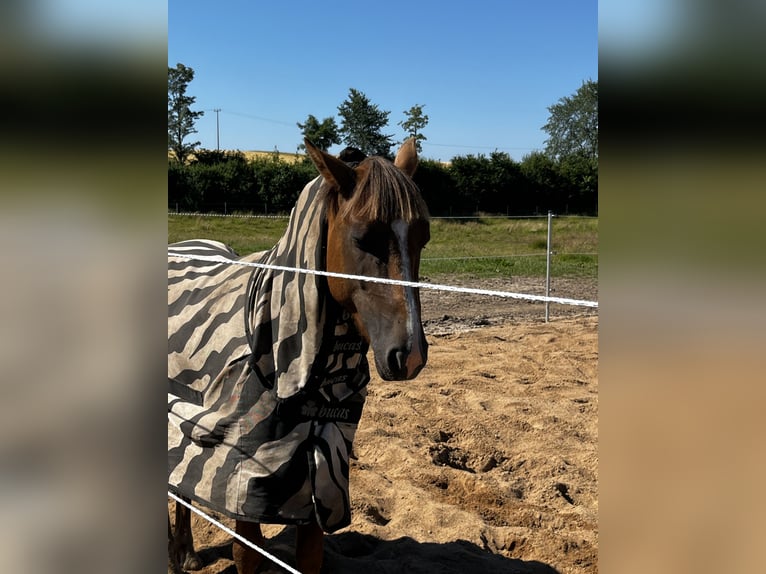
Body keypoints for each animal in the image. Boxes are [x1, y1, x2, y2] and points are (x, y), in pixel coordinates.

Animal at [168, 138, 430, 573]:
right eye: (363, 239)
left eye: (422, 239)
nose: (409, 355)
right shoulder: (244, 477)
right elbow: (246, 554)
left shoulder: (321, 479)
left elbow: (310, 557)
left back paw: (185, 552)